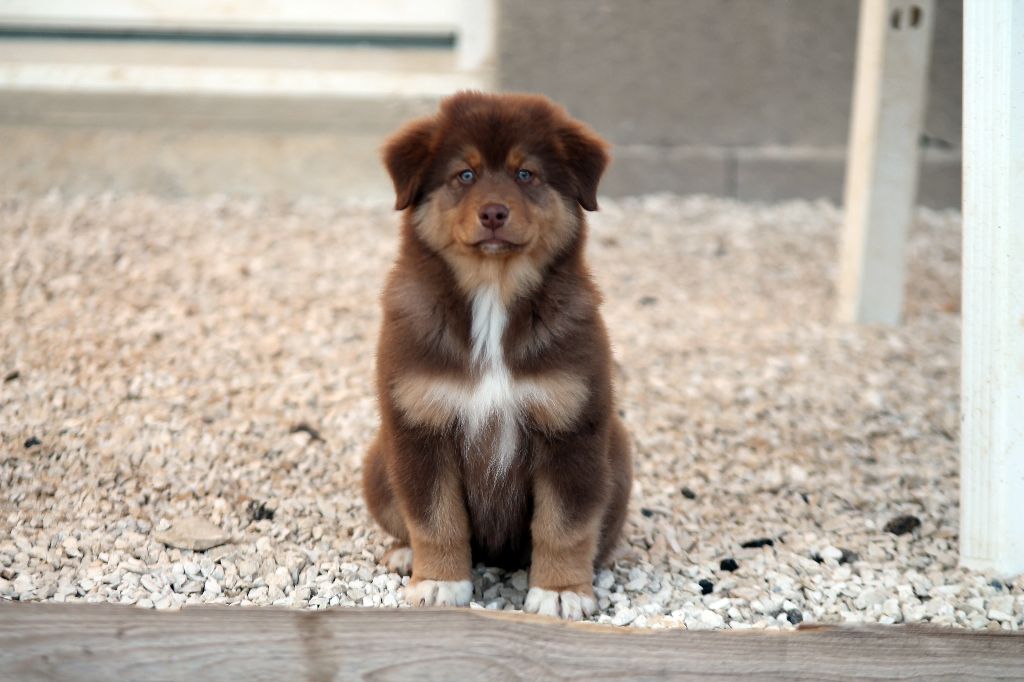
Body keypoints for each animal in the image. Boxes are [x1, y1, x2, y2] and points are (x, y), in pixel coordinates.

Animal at [362, 91, 632, 621]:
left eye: (525, 174)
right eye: (464, 175)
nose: (493, 213)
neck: (492, 294)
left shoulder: (570, 428)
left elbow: (564, 525)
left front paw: (561, 592)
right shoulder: (420, 425)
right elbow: (435, 518)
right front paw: (439, 582)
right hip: (379, 461)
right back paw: (405, 555)